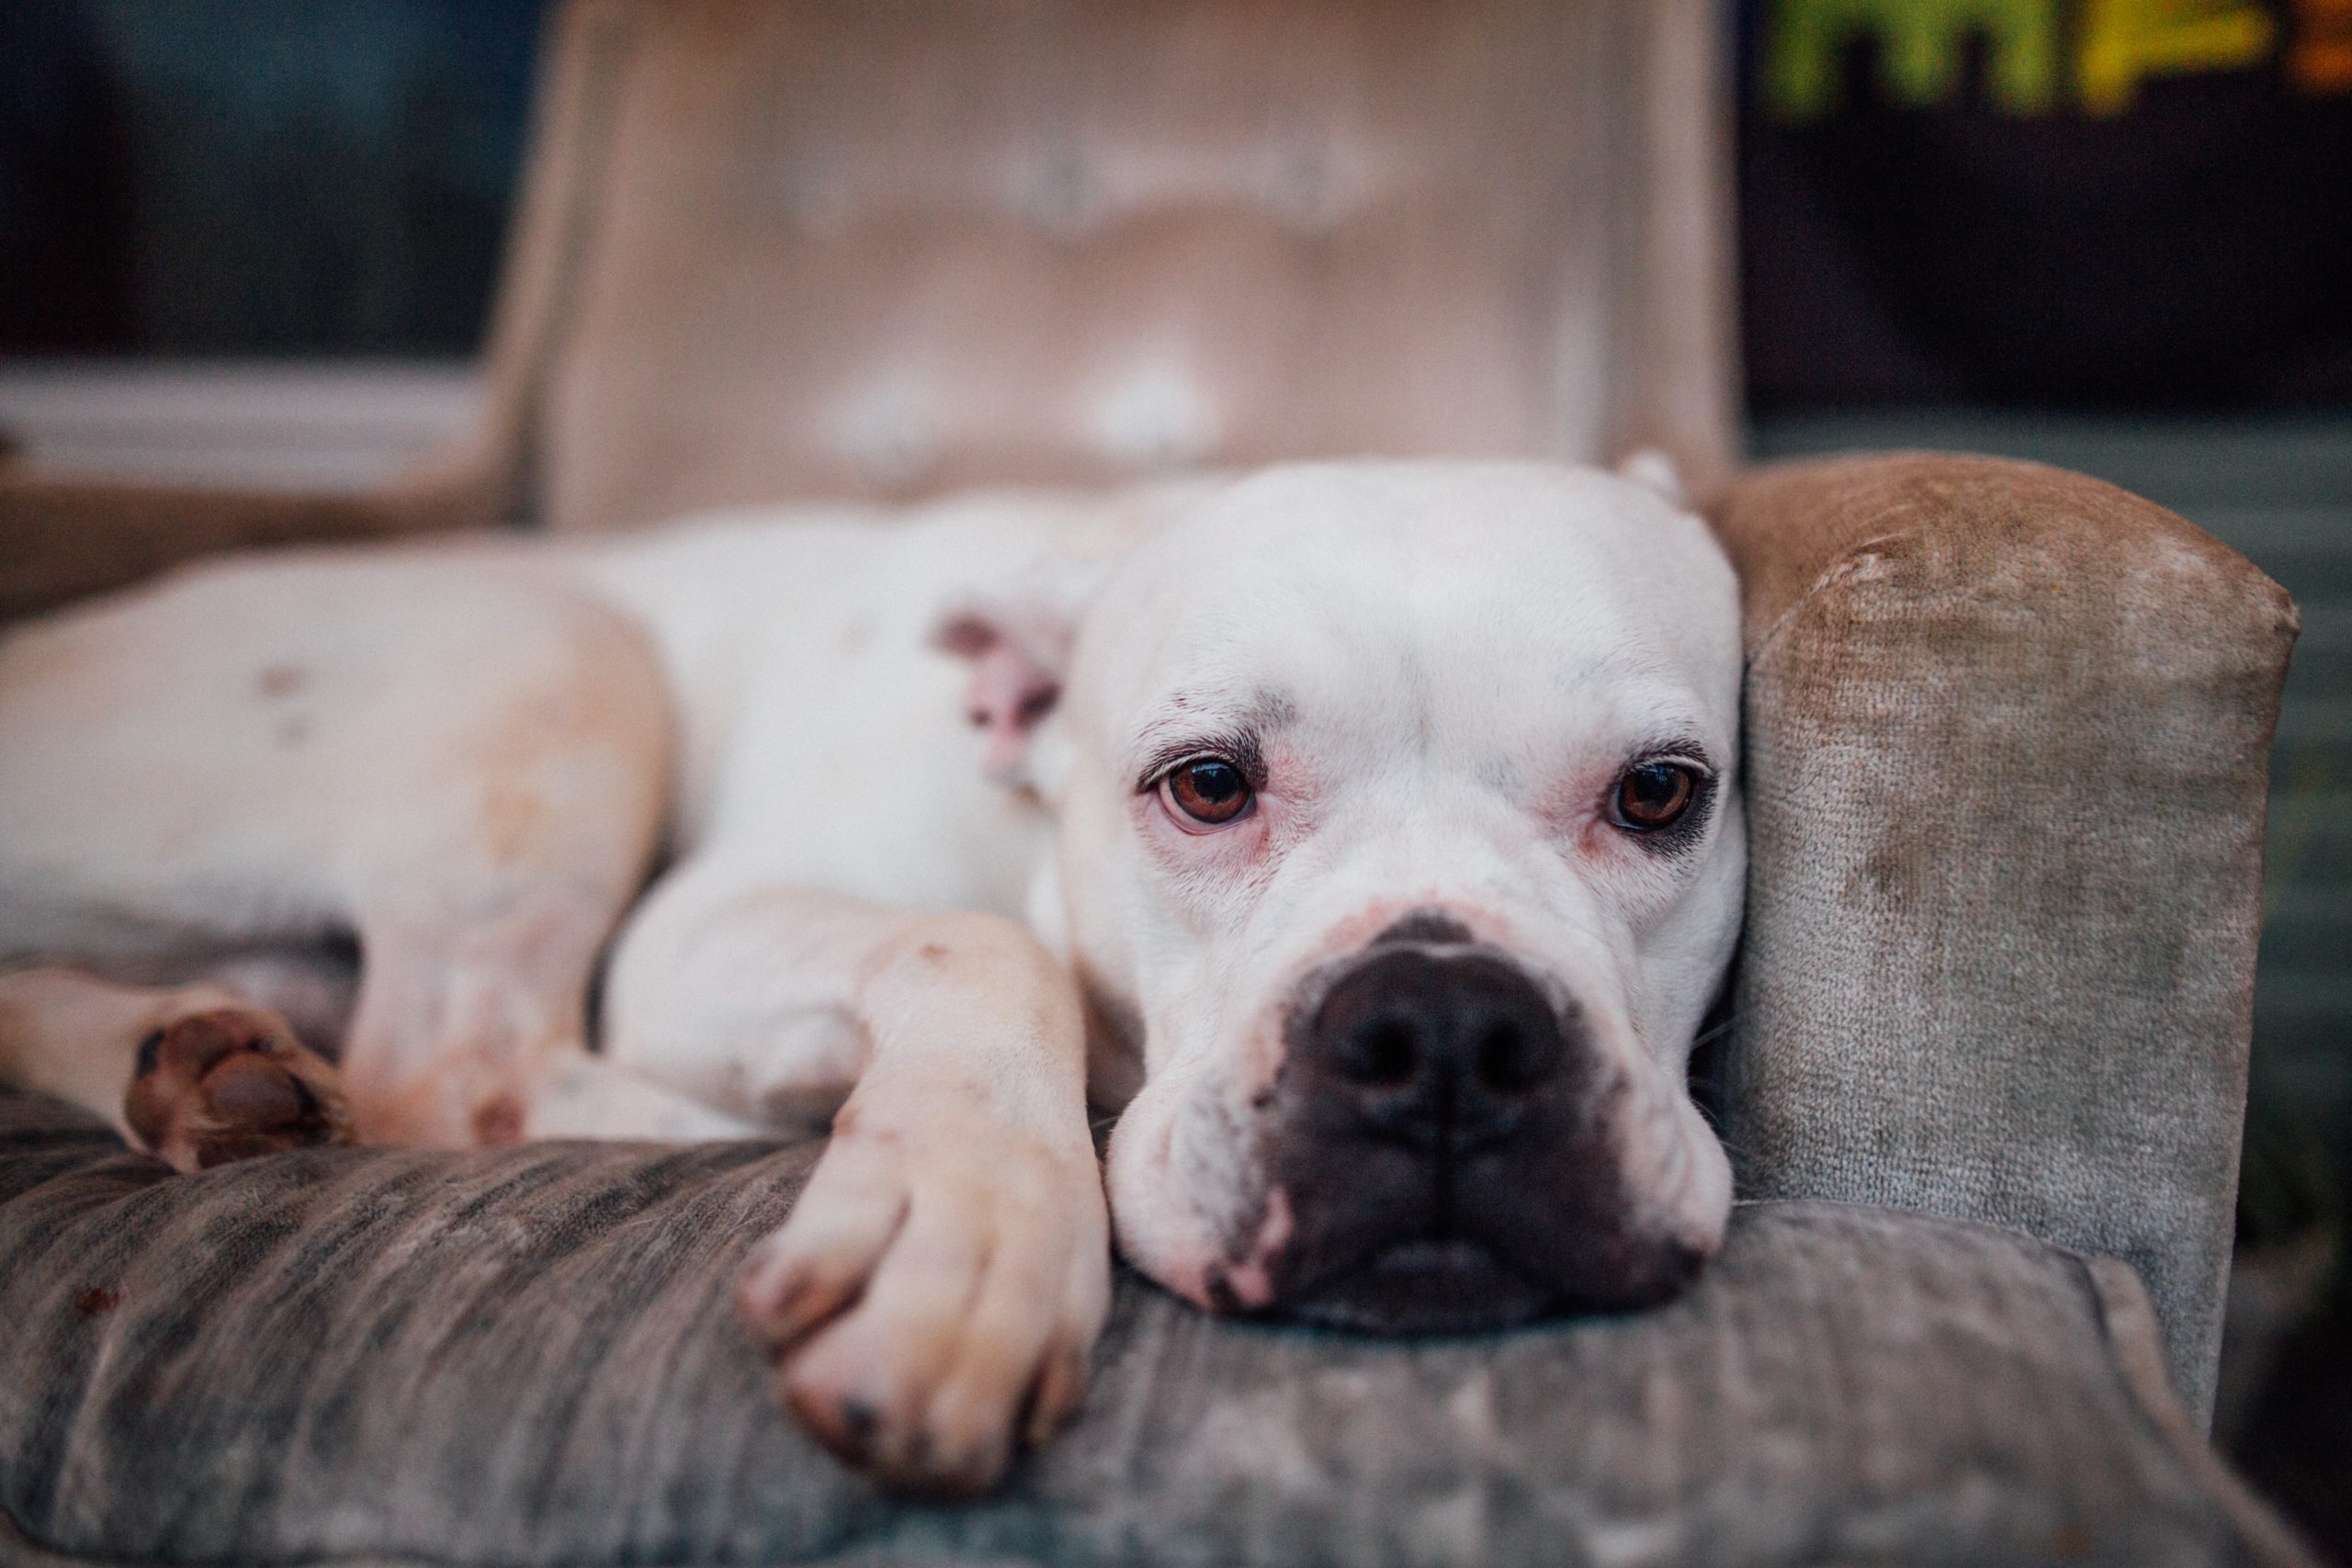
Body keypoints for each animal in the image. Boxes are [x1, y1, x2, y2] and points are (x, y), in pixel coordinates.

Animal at [0, 456, 1749, 1495]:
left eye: (1663, 792)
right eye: (1205, 785)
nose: (1443, 1031)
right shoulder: (700, 930)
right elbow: (978, 940)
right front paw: (966, 1217)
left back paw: (194, 1061)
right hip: (547, 649)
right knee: (453, 1058)